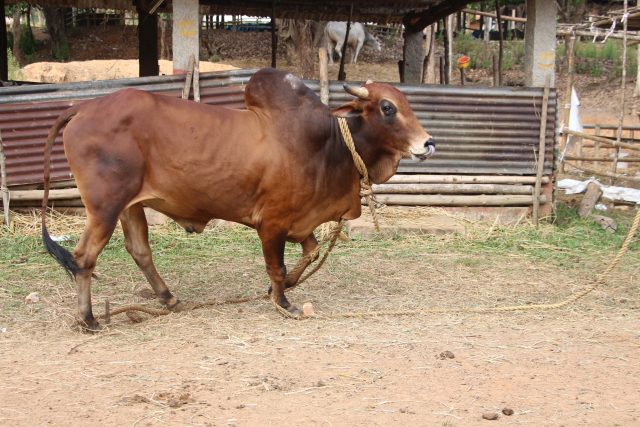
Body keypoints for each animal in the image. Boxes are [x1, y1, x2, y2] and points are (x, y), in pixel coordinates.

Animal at [41, 67, 436, 332]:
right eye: (387, 107)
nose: (428, 143)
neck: (329, 144)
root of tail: (85, 107)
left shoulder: (299, 221)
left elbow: (309, 253)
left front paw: (284, 287)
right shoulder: (272, 224)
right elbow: (277, 267)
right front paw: (283, 301)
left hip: (130, 205)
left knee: (139, 250)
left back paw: (169, 298)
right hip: (104, 207)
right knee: (83, 258)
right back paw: (89, 319)